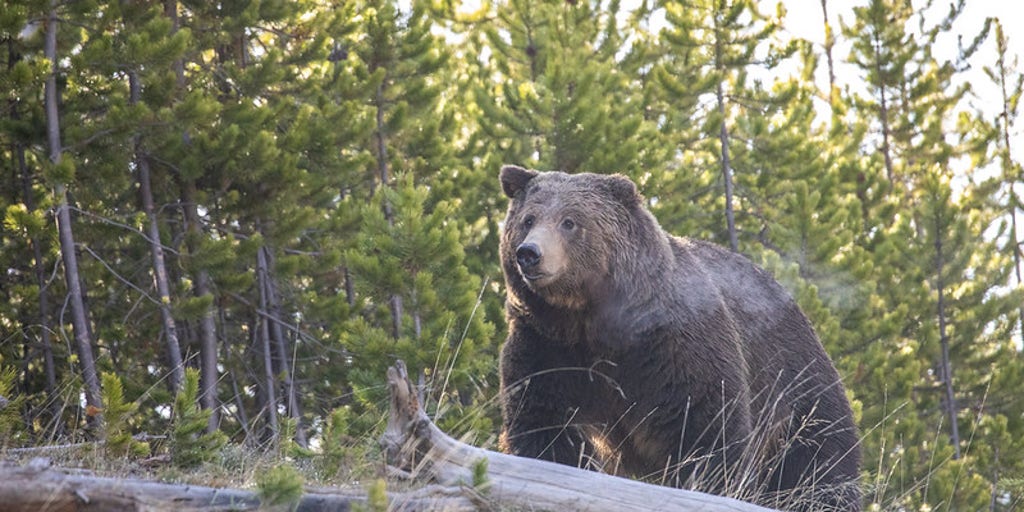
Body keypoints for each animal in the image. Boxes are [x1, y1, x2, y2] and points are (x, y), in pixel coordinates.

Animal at [497, 165, 861, 511]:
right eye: (528, 219)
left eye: (570, 221)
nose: (530, 253)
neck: (589, 320)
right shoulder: (548, 346)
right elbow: (545, 423)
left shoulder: (672, 346)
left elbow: (704, 427)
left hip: (795, 379)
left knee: (820, 460)